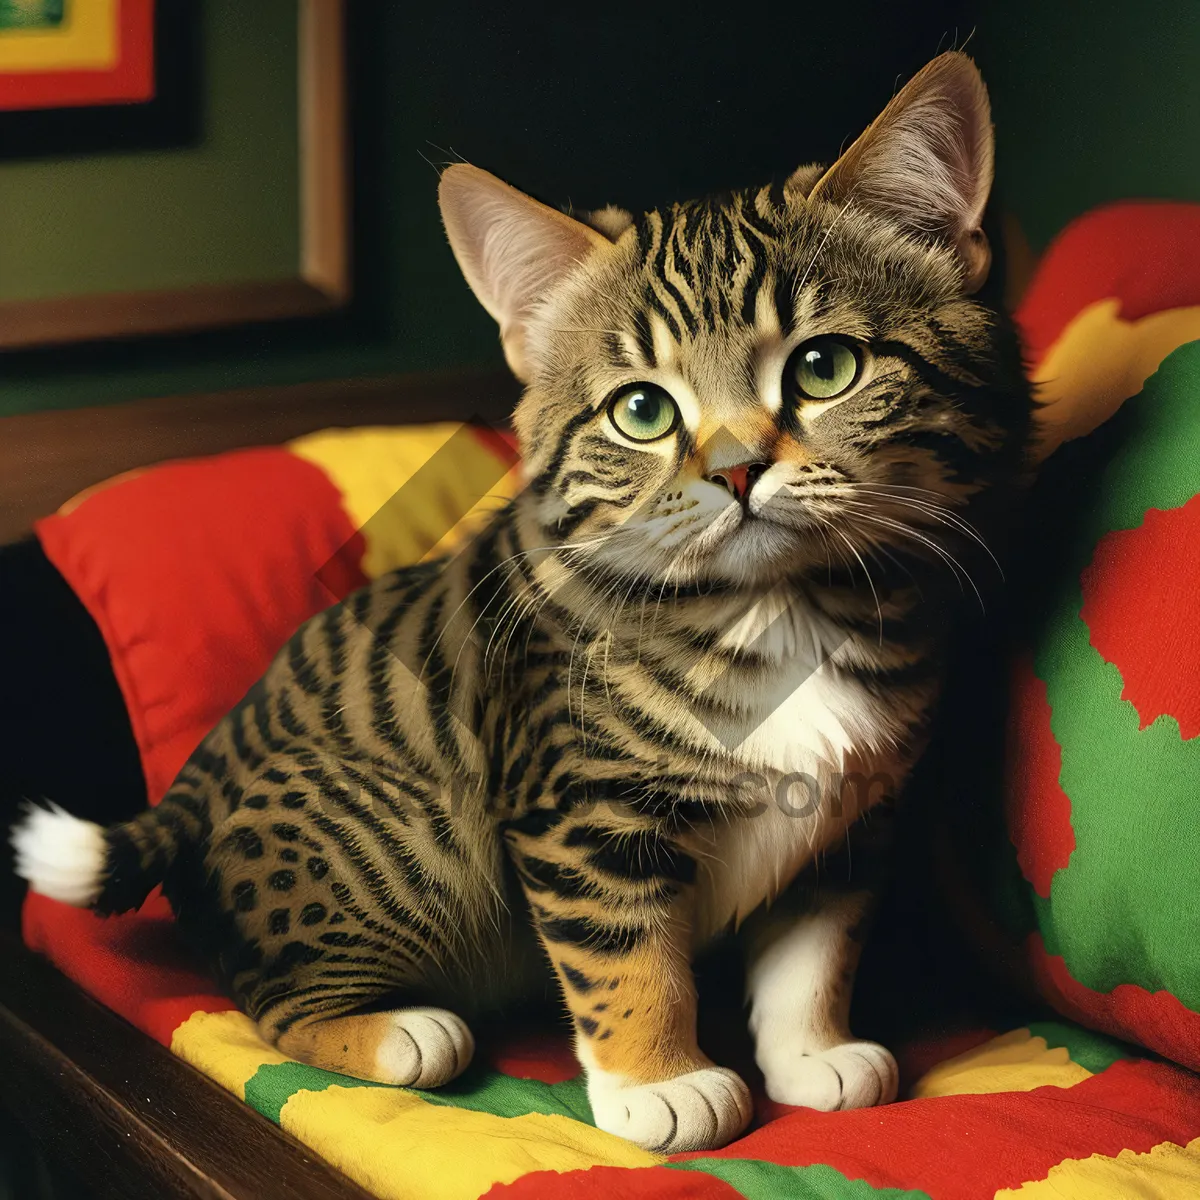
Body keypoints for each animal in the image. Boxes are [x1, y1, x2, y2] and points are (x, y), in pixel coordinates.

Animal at [14, 56, 1032, 1152]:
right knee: (270, 997)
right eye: (643, 410)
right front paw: (659, 1082)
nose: (736, 469)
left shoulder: (852, 813)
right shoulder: (579, 805)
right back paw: (398, 1033)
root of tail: (195, 779)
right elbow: (627, 952)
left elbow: (815, 947)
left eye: (825, 366)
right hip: (414, 836)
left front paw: (812, 1054)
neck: (777, 608)